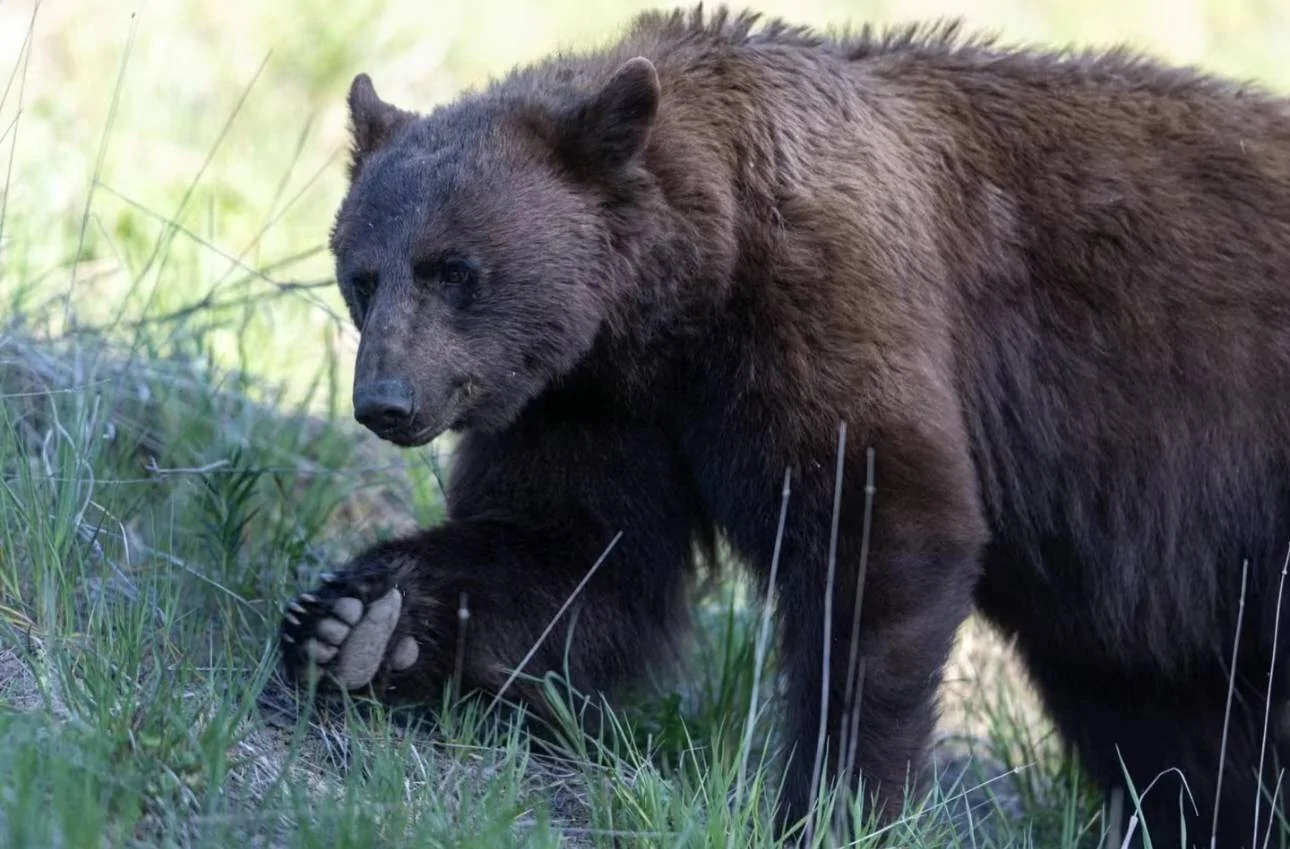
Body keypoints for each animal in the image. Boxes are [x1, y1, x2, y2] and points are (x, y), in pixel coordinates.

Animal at [278, 6, 1290, 846]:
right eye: (361, 273)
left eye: (457, 269)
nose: (387, 401)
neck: (685, 292)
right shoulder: (595, 397)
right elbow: (577, 551)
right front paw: (362, 622)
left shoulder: (822, 301)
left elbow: (876, 535)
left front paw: (836, 801)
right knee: (1179, 717)